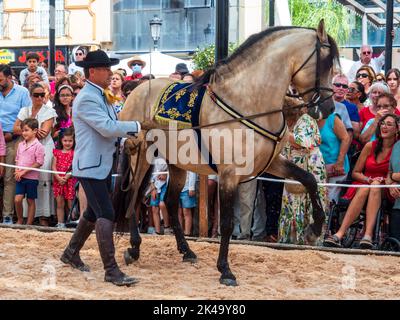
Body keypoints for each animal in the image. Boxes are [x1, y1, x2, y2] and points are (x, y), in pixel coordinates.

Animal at [117, 20, 340, 284]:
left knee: (170, 202)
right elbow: (226, 223)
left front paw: (315, 228)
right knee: (133, 196)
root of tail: (136, 91)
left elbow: (308, 179)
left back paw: (186, 251)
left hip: (177, 163)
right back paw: (134, 247)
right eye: (325, 62)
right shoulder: (229, 174)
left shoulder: (271, 163)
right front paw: (225, 270)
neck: (248, 101)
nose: (329, 107)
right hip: (139, 156)